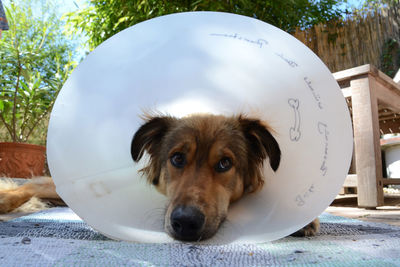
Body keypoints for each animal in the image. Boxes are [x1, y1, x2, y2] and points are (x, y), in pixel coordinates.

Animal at [0, 114, 318, 242]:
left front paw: (304, 220)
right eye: (177, 158)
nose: (186, 223)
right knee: (32, 185)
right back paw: (6, 199)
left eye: (225, 163)